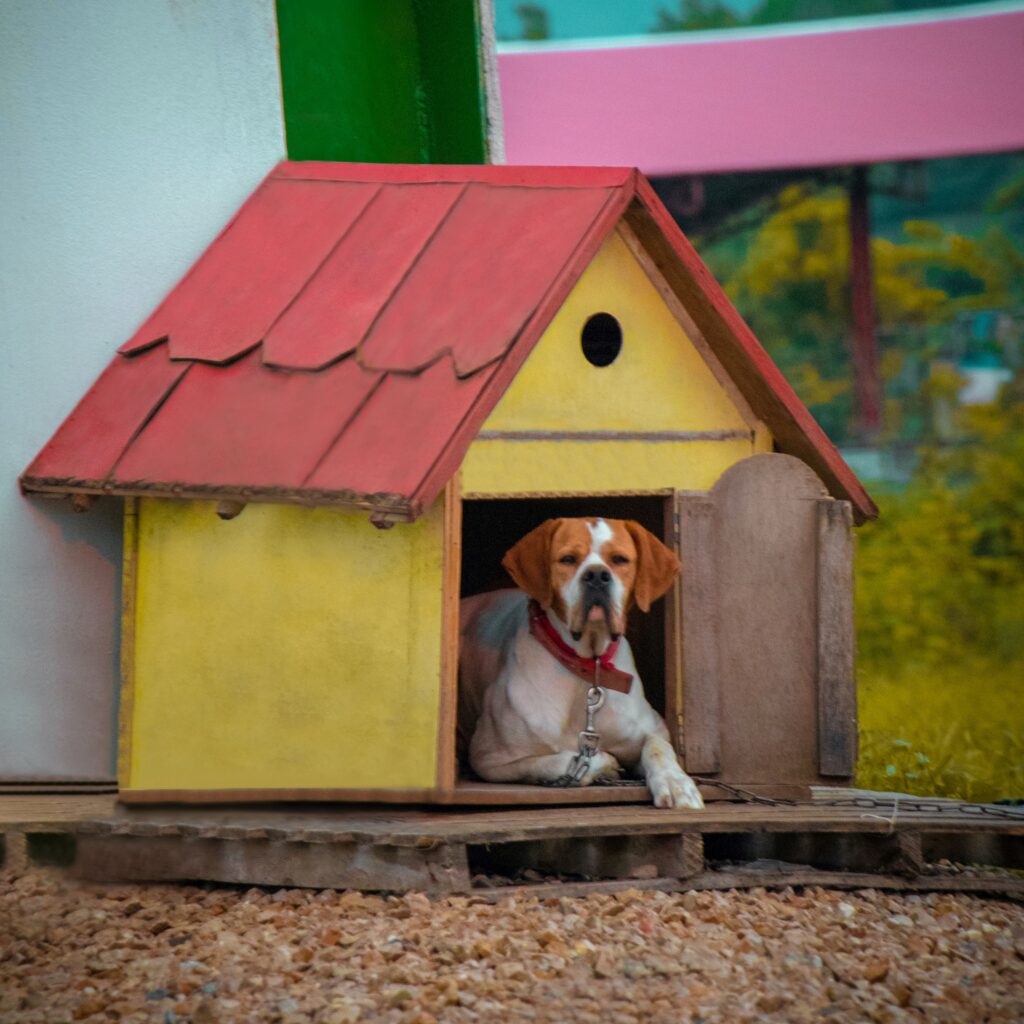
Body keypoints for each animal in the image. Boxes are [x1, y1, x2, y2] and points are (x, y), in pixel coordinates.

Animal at [458, 520, 704, 806]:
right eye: (568, 559)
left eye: (619, 559)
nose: (597, 575)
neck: (586, 666)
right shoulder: (490, 759)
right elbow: (562, 761)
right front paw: (603, 763)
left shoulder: (655, 728)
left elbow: (658, 748)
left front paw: (676, 783)